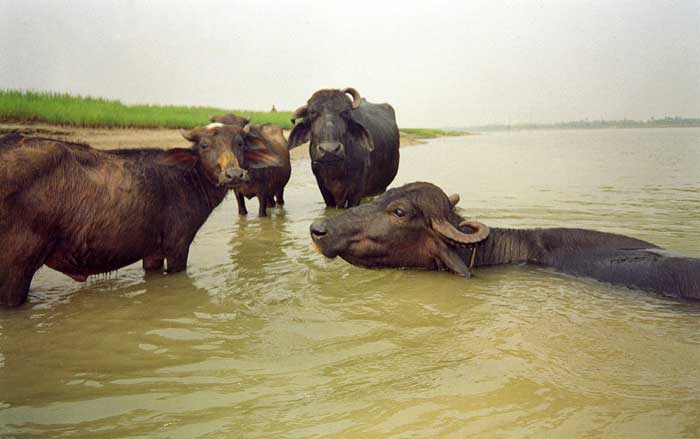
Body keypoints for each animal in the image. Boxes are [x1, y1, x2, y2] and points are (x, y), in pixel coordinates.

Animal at [0, 128, 280, 307]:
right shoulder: (177, 246)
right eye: (204, 146)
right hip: (16, 268)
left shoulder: (153, 251)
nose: (234, 174)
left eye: (240, 144)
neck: (186, 179)